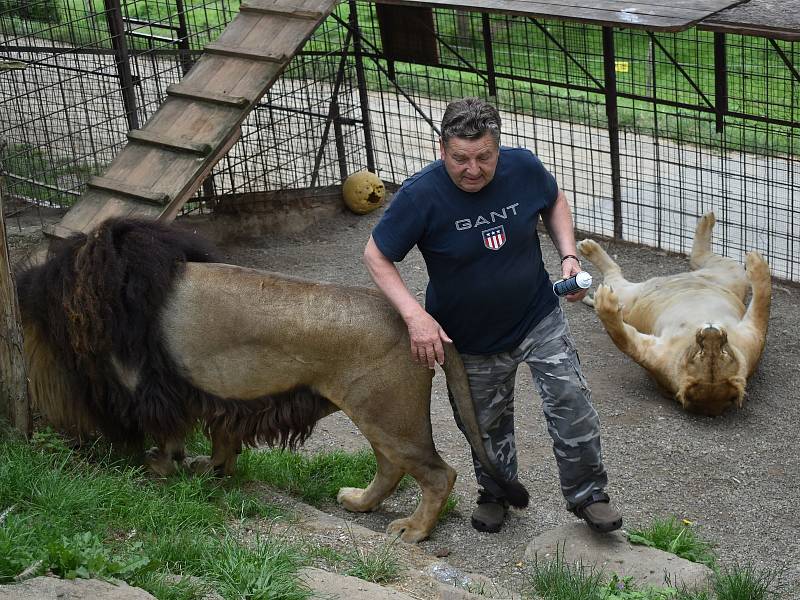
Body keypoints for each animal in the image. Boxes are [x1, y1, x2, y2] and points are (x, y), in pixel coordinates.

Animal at [15, 218, 528, 540]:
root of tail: (425, 323)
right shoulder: (216, 396)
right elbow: (222, 437)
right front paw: (214, 470)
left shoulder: (151, 386)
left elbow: (168, 435)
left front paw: (163, 467)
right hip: (379, 415)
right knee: (392, 468)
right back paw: (359, 503)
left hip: (390, 417)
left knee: (439, 474)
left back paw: (414, 531)